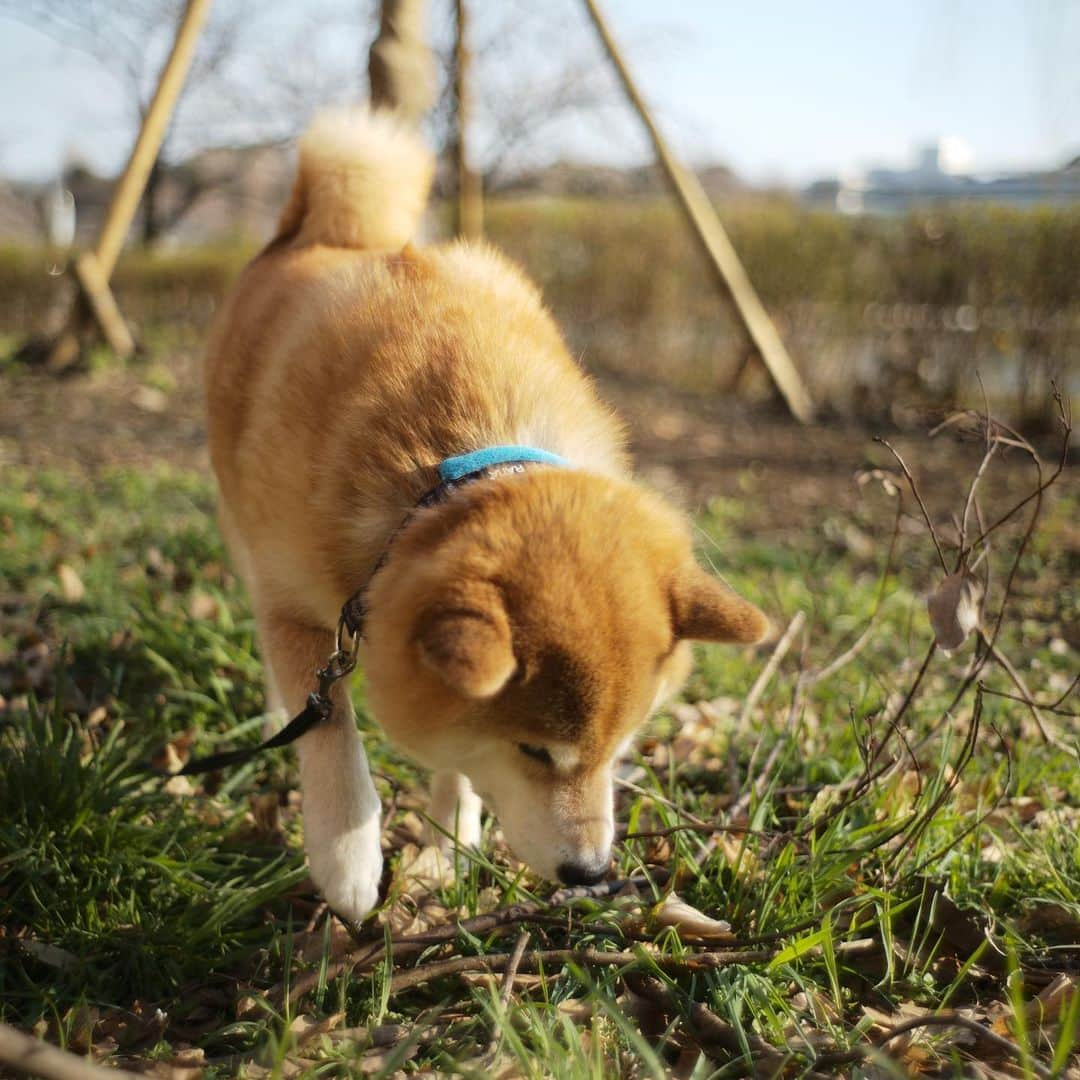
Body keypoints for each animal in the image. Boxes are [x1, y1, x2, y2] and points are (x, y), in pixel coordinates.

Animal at [203, 107, 768, 920]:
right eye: (535, 749)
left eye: (624, 745)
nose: (590, 872)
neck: (450, 467)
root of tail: (312, 234)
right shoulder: (300, 607)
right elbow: (332, 730)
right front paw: (347, 856)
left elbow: (458, 753)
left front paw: (451, 836)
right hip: (242, 528)